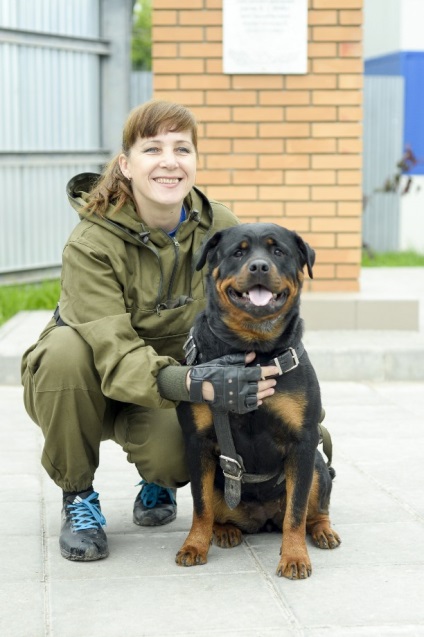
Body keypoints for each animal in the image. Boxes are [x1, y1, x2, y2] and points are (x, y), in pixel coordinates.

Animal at [176, 222, 342, 576]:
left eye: (278, 251)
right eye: (238, 253)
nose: (259, 267)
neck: (251, 351)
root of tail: (263, 519)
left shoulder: (302, 443)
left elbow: (296, 512)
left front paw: (294, 557)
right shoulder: (197, 443)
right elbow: (200, 506)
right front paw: (194, 545)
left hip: (317, 468)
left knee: (313, 509)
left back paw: (322, 530)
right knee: (215, 510)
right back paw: (224, 531)